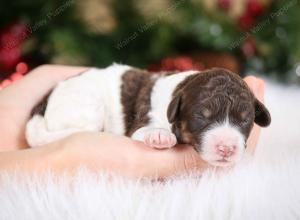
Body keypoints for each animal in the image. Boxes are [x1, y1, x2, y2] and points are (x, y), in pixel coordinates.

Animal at [26, 63, 272, 167]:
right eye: (201, 116)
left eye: (245, 120)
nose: (227, 148)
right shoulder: (145, 119)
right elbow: (145, 129)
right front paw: (159, 135)